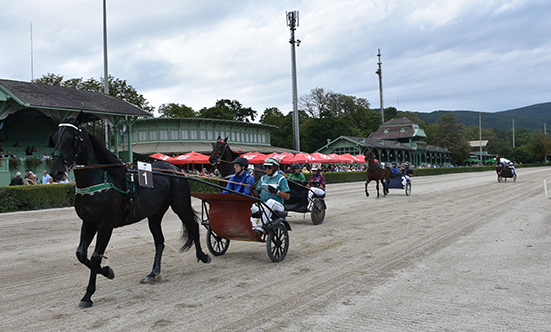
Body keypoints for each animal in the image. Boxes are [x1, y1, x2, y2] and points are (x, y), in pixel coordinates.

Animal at [49, 112, 211, 308]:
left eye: (71, 138)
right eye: (54, 138)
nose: (56, 172)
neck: (98, 183)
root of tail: (175, 168)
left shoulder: (106, 225)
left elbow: (95, 257)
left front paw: (88, 295)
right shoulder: (88, 222)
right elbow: (81, 254)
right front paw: (107, 271)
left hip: (180, 205)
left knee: (193, 226)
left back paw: (203, 256)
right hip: (154, 214)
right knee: (160, 241)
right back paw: (153, 273)